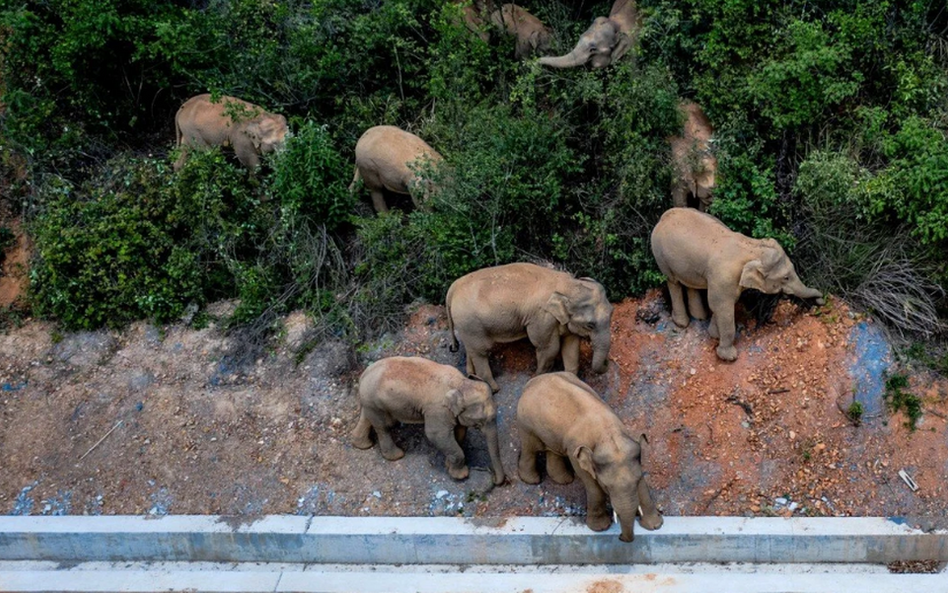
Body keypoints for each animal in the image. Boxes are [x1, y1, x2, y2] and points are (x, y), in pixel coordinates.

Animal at [352, 354, 508, 484]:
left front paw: (448, 465)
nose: (494, 479)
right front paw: (461, 475)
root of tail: (363, 375)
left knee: (367, 418)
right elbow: (436, 435)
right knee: (384, 427)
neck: (460, 383)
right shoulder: (438, 410)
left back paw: (363, 445)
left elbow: (459, 431)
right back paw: (397, 455)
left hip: (370, 402)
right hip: (375, 402)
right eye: (479, 422)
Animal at [446, 264, 616, 394]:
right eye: (590, 325)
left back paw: (472, 376)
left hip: (468, 326)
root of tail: (452, 289)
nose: (608, 361)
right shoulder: (542, 318)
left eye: (612, 312)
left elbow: (571, 347)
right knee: (481, 352)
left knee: (472, 349)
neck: (567, 285)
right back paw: (494, 389)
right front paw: (536, 379)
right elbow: (549, 349)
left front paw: (571, 379)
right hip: (471, 323)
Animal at [516, 374, 664, 540]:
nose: (621, 537)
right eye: (607, 486)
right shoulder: (575, 452)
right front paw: (600, 528)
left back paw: (564, 480)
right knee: (530, 448)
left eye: (637, 480)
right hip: (525, 423)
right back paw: (532, 480)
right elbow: (592, 485)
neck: (607, 435)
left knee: (553, 450)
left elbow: (643, 485)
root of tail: (533, 380)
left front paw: (655, 525)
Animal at [652, 208, 824, 360]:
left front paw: (714, 334)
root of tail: (663, 216)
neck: (751, 247)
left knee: (690, 284)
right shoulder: (724, 277)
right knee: (673, 282)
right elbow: (722, 306)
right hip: (660, 254)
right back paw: (682, 323)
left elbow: (724, 304)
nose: (821, 301)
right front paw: (729, 356)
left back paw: (699, 317)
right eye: (786, 278)